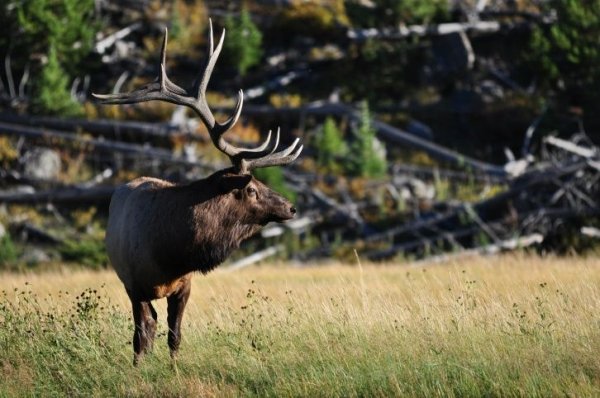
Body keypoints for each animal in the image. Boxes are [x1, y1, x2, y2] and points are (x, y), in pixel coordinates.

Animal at [94, 21, 302, 364]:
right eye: (252, 189)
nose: (291, 207)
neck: (168, 253)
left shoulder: (185, 284)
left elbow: (175, 335)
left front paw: (174, 369)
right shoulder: (134, 285)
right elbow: (141, 335)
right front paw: (138, 369)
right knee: (145, 329)